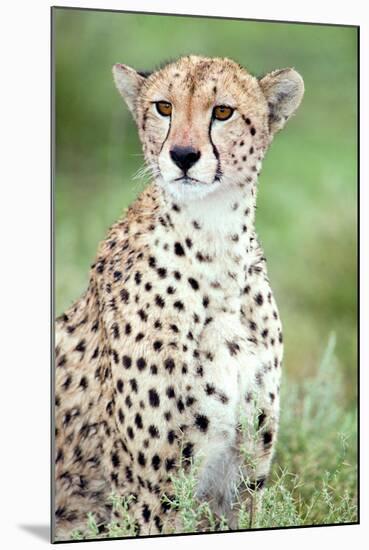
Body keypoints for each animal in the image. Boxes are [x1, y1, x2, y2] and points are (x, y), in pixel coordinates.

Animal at [54, 56, 302, 544]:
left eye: (222, 112)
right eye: (163, 106)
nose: (183, 156)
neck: (214, 249)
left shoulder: (244, 476)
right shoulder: (156, 495)